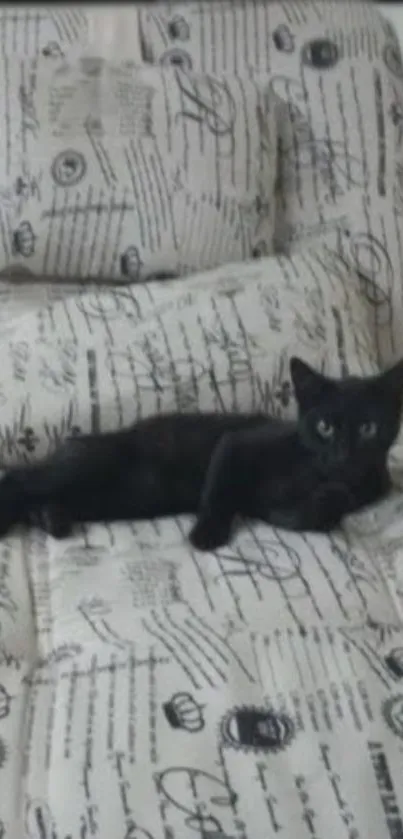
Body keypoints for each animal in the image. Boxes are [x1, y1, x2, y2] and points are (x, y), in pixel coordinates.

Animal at [0, 354, 402, 552]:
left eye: (368, 428)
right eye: (325, 426)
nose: (344, 454)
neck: (311, 471)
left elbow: (315, 511)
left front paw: (324, 499)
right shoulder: (237, 444)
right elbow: (218, 490)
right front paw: (206, 534)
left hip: (105, 499)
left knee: (37, 500)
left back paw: (52, 518)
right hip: (88, 467)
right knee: (18, 479)